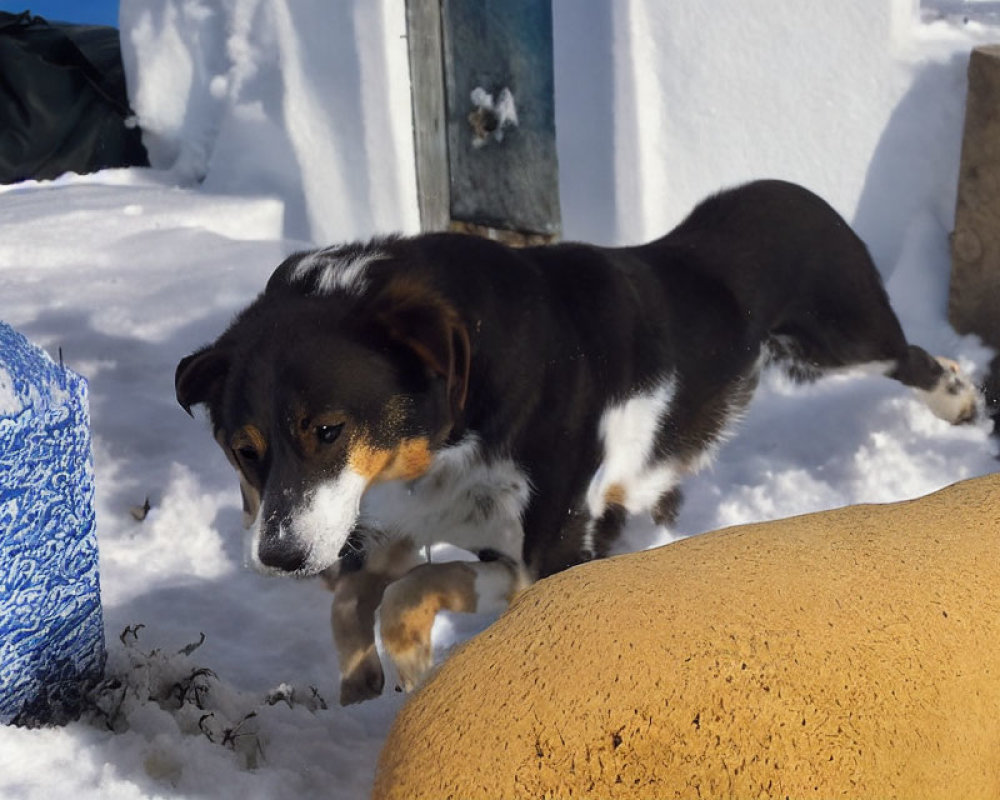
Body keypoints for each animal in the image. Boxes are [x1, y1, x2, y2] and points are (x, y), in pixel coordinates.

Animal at [178, 180, 976, 700]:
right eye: (243, 451)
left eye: (328, 429)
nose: (278, 557)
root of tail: (791, 188)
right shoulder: (503, 549)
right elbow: (387, 590)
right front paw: (383, 669)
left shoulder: (553, 548)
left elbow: (405, 590)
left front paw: (405, 662)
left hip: (840, 342)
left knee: (909, 355)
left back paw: (960, 397)